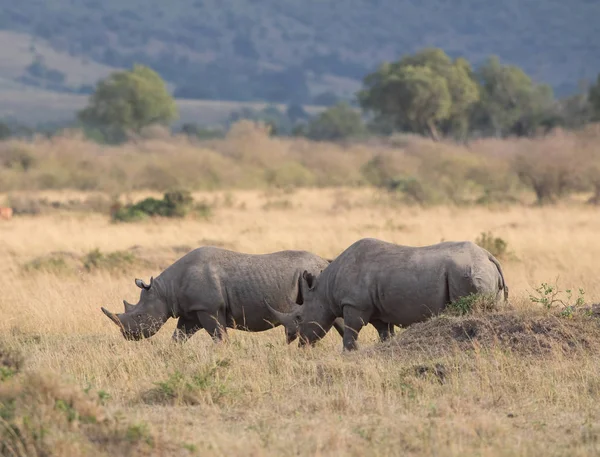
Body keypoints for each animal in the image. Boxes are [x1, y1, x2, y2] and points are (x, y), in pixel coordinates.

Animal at [100, 246, 344, 342]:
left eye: (140, 317)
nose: (127, 336)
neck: (164, 290)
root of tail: (325, 262)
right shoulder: (191, 312)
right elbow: (178, 337)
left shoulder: (208, 308)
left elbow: (219, 336)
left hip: (315, 274)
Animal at [270, 237, 508, 350]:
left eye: (299, 317)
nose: (299, 344)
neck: (324, 290)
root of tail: (488, 256)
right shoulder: (377, 311)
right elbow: (385, 334)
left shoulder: (354, 305)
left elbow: (350, 333)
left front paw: (348, 354)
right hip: (478, 271)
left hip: (468, 271)